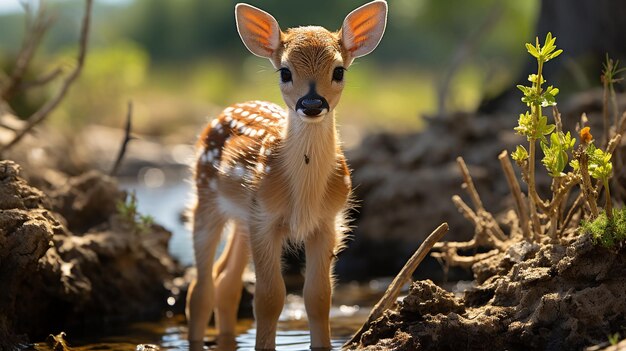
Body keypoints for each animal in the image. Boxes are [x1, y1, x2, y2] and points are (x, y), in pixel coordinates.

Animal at [184, 1, 386, 350]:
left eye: (339, 71)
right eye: (285, 71)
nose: (312, 103)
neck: (304, 194)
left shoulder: (327, 222)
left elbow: (318, 297)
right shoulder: (266, 219)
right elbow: (269, 299)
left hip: (243, 217)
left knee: (226, 284)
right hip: (206, 198)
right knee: (201, 289)